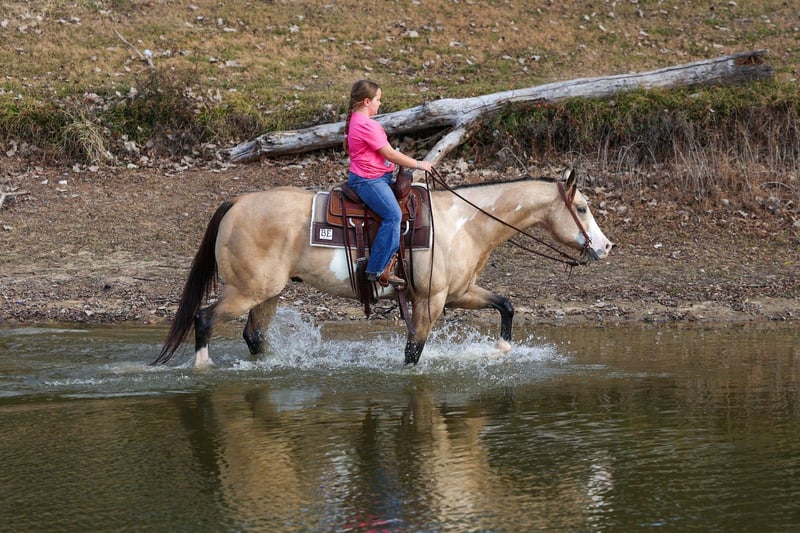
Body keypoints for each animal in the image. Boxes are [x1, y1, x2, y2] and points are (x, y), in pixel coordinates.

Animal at [152, 168, 614, 367]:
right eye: (582, 208)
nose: (605, 246)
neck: (462, 222)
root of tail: (236, 203)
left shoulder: (459, 293)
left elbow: (506, 304)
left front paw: (501, 349)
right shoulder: (429, 301)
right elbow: (413, 351)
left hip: (268, 293)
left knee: (253, 335)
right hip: (248, 289)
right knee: (204, 318)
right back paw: (203, 368)